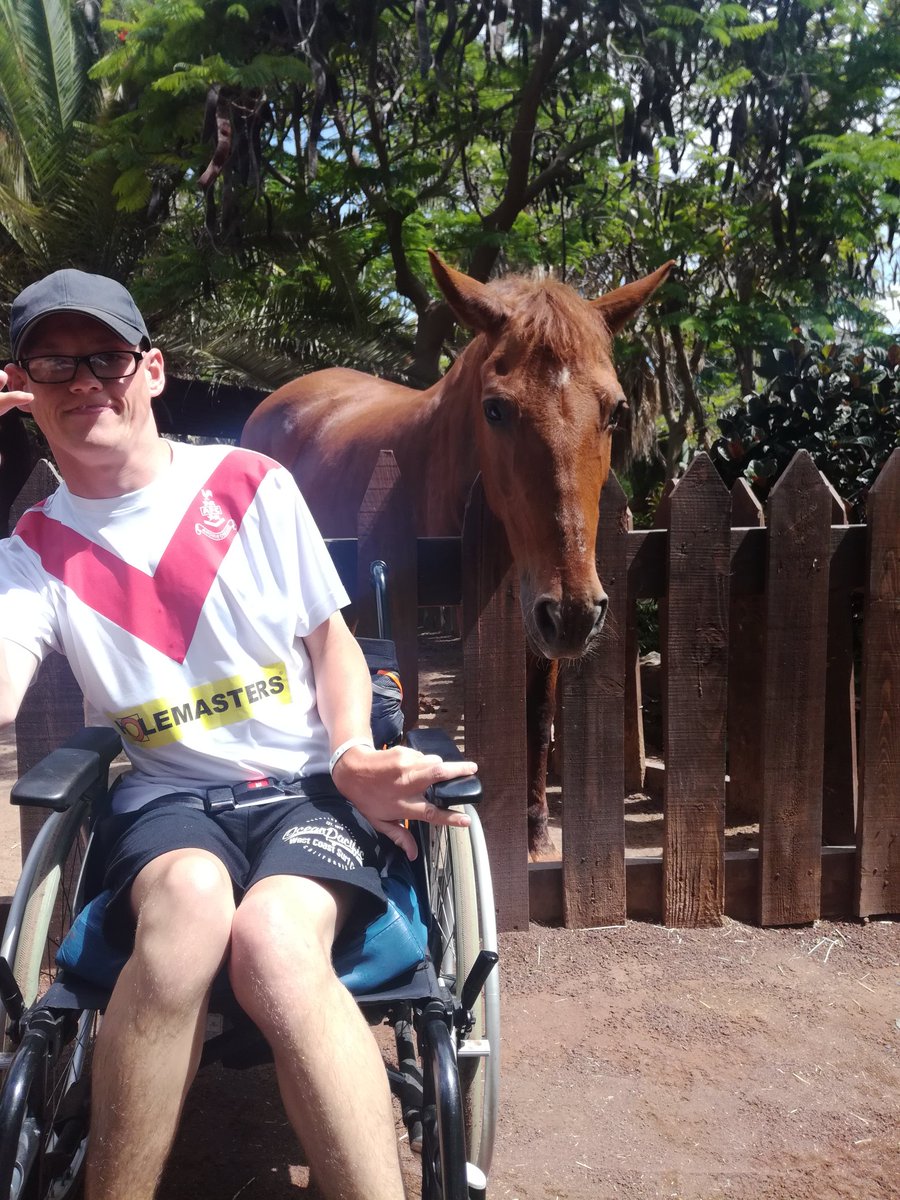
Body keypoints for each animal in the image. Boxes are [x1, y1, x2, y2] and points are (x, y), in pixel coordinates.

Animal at [241, 251, 673, 856]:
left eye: (615, 409)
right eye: (495, 409)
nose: (574, 613)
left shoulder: (536, 618)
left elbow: (538, 717)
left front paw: (536, 831)